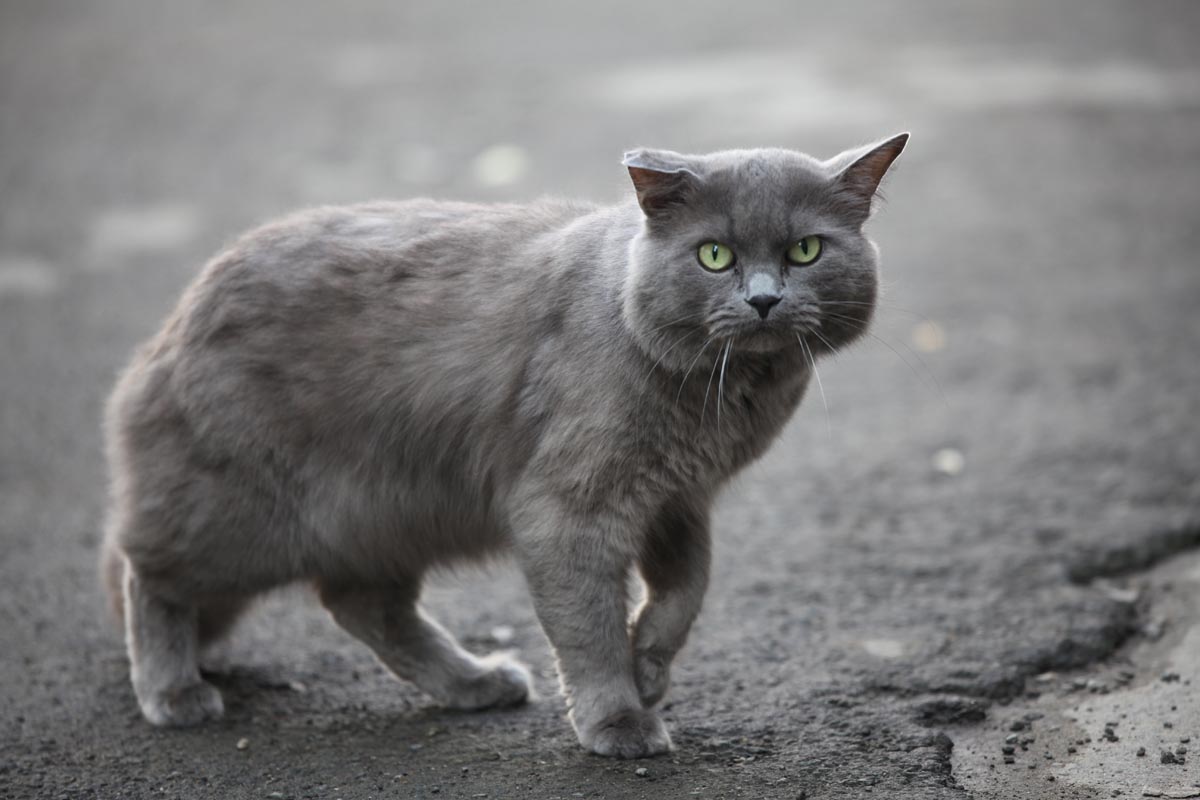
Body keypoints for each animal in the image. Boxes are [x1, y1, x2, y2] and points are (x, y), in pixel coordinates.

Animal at [103, 134, 907, 762]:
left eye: (805, 251)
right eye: (714, 255)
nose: (764, 299)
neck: (723, 395)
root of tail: (178, 319)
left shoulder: (678, 500)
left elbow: (686, 591)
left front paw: (648, 666)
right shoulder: (571, 507)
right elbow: (588, 627)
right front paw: (619, 718)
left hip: (390, 511)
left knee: (362, 603)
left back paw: (474, 682)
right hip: (245, 511)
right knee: (149, 570)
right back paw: (174, 690)